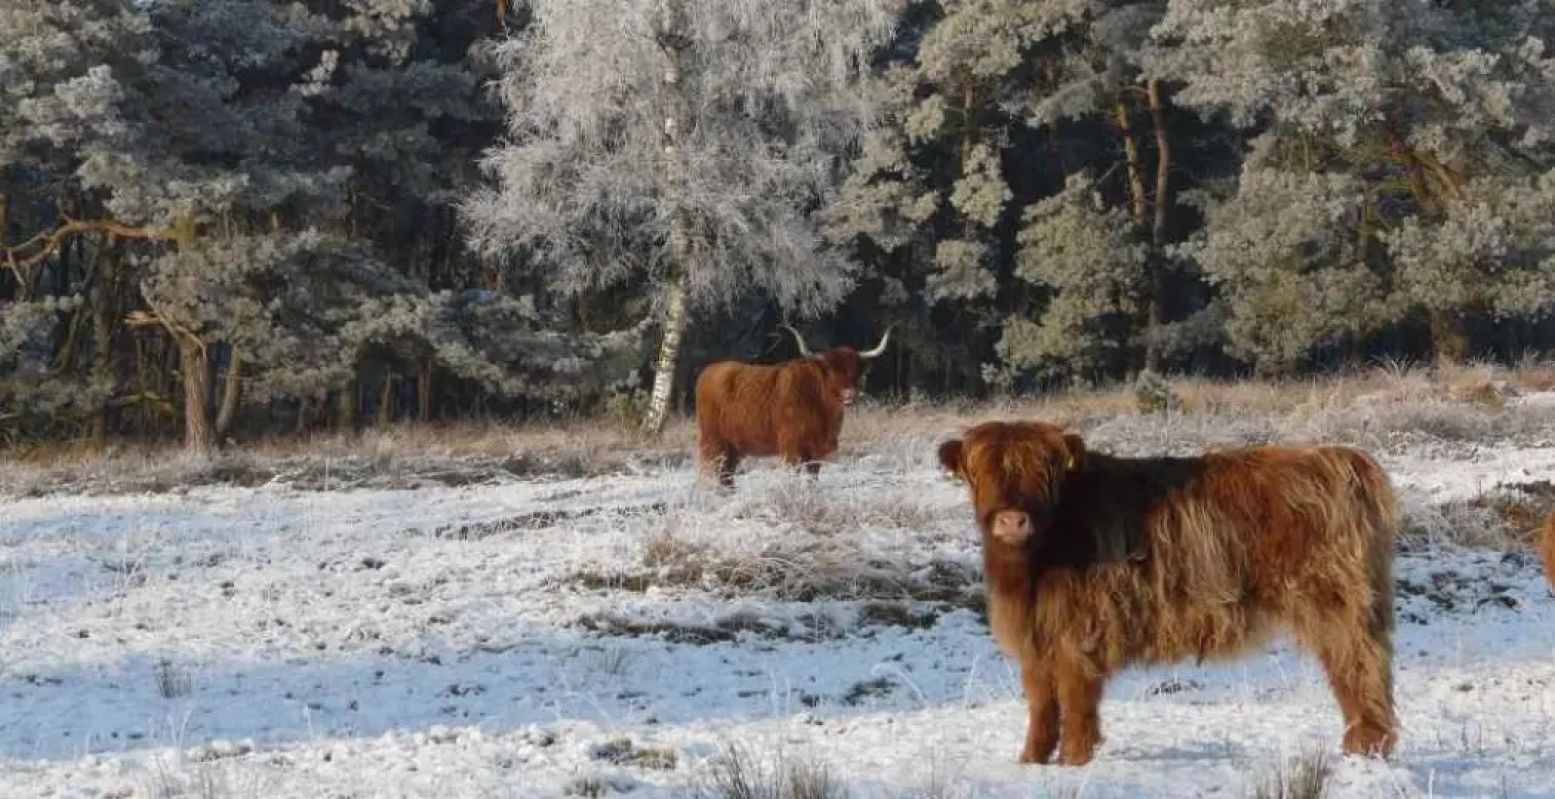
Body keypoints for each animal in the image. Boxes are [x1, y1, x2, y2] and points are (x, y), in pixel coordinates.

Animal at [693, 323, 889, 484]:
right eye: (830, 369)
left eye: (856, 370)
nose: (849, 394)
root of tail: (710, 371)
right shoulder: (791, 448)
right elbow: (793, 475)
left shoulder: (815, 452)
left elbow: (813, 477)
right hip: (712, 441)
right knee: (710, 470)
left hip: (732, 447)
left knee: (726, 475)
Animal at [939, 422, 1405, 764]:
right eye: (981, 471)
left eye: (1045, 471)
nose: (1012, 520)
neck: (1032, 569)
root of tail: (1344, 459)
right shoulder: (1037, 640)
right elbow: (1041, 703)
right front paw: (1032, 760)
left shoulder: (1081, 633)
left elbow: (1075, 698)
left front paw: (1074, 761)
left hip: (1339, 605)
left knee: (1359, 666)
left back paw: (1366, 746)